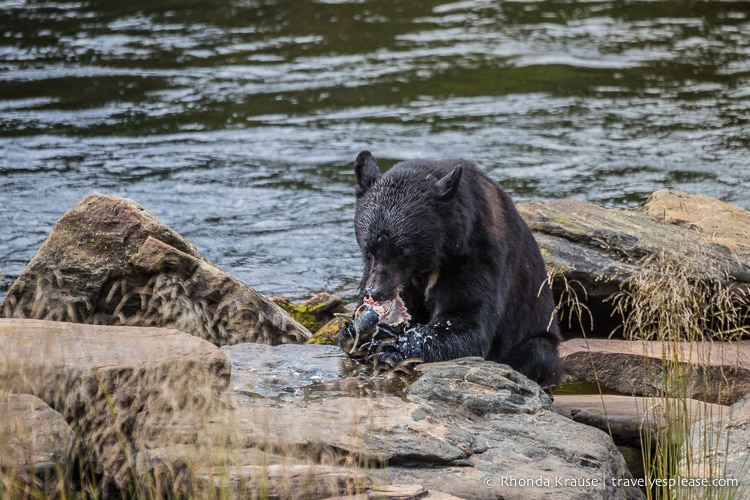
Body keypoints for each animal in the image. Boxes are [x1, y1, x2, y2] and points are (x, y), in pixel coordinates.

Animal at [344, 150, 560, 392]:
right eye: (369, 249)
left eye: (402, 252)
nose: (376, 292)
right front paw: (355, 331)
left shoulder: (477, 256)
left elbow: (465, 321)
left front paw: (392, 347)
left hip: (536, 338)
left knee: (538, 352)